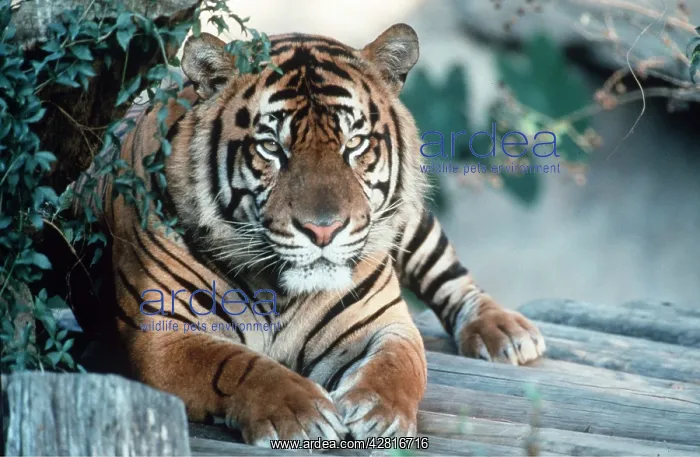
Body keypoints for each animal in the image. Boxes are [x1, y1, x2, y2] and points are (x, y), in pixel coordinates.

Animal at [69, 24, 545, 446]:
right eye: (271, 148)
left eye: (354, 144)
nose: (323, 229)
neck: (281, 291)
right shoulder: (162, 334)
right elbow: (234, 364)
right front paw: (300, 415)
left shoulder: (385, 322)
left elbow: (399, 365)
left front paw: (379, 414)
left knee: (452, 277)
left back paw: (505, 332)